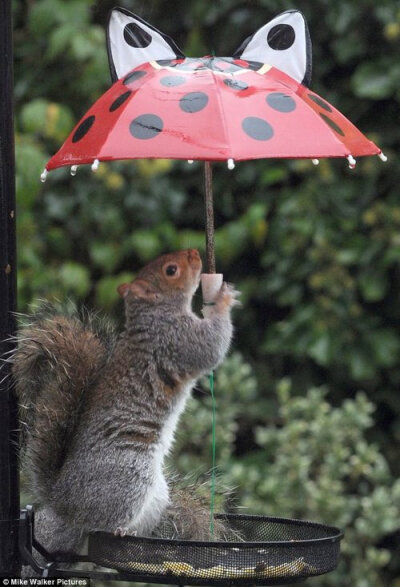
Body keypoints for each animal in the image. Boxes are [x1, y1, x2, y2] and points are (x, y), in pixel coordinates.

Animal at [11, 249, 238, 564]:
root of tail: (63, 504)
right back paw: (117, 531)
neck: (154, 314)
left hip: (156, 495)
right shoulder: (178, 341)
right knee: (98, 526)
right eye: (171, 270)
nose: (194, 253)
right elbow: (212, 346)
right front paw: (223, 299)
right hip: (130, 475)